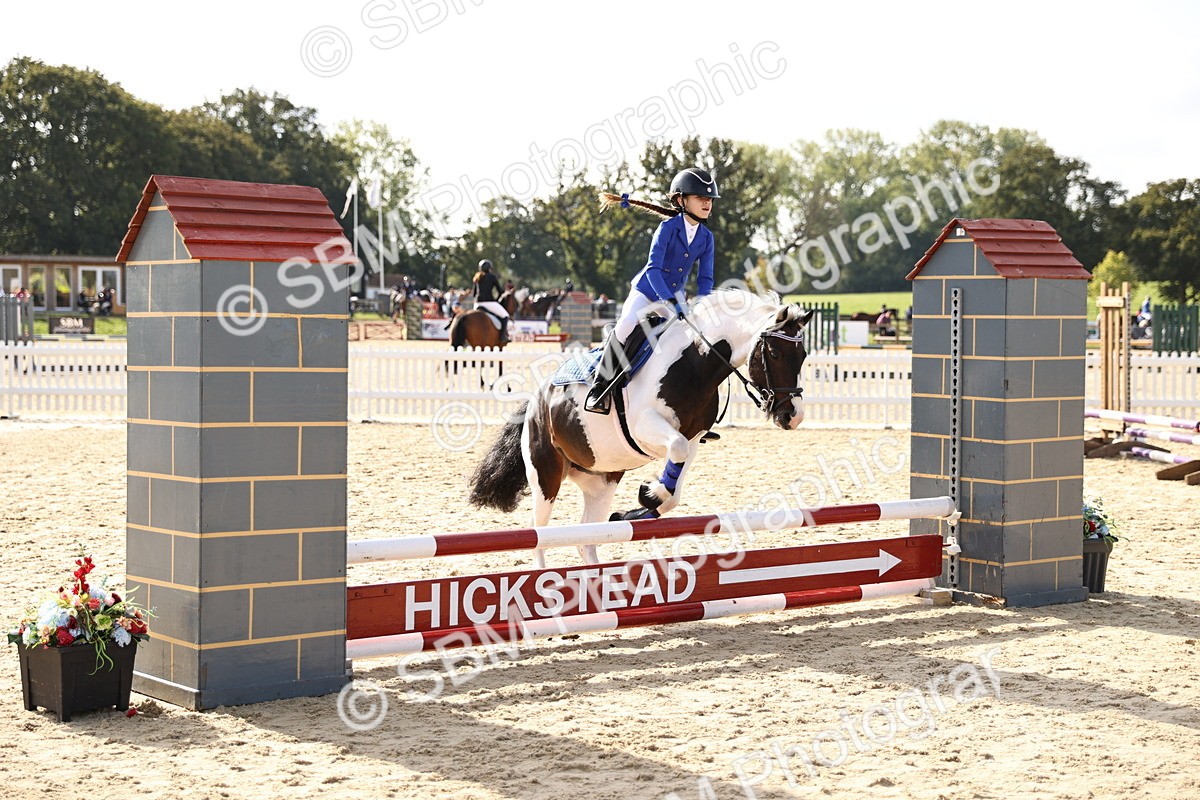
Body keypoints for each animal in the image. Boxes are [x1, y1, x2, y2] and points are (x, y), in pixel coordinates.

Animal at [468, 289, 814, 568]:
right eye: (774, 353)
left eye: (804, 355)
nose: (792, 416)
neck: (695, 364)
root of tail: (537, 400)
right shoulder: (646, 427)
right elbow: (675, 453)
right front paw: (649, 495)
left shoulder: (694, 437)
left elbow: (675, 484)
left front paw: (644, 503)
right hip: (546, 474)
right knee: (540, 534)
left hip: (600, 481)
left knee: (586, 538)